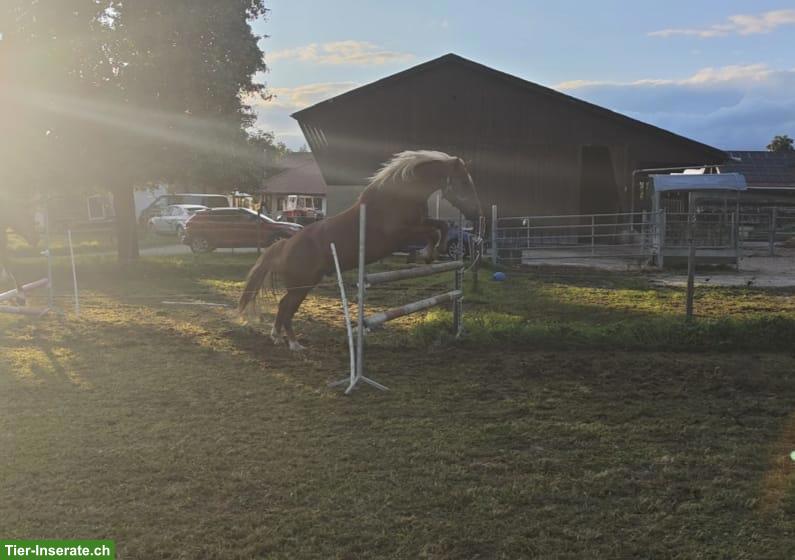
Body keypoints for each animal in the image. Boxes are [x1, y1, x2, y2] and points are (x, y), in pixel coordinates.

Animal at [239, 150, 482, 351]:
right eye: (463, 181)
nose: (476, 214)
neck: (398, 196)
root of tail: (285, 245)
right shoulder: (402, 233)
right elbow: (434, 233)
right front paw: (429, 254)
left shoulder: (419, 223)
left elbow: (441, 225)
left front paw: (429, 254)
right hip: (302, 285)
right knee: (287, 307)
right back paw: (294, 344)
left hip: (304, 284)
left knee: (283, 306)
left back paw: (277, 337)